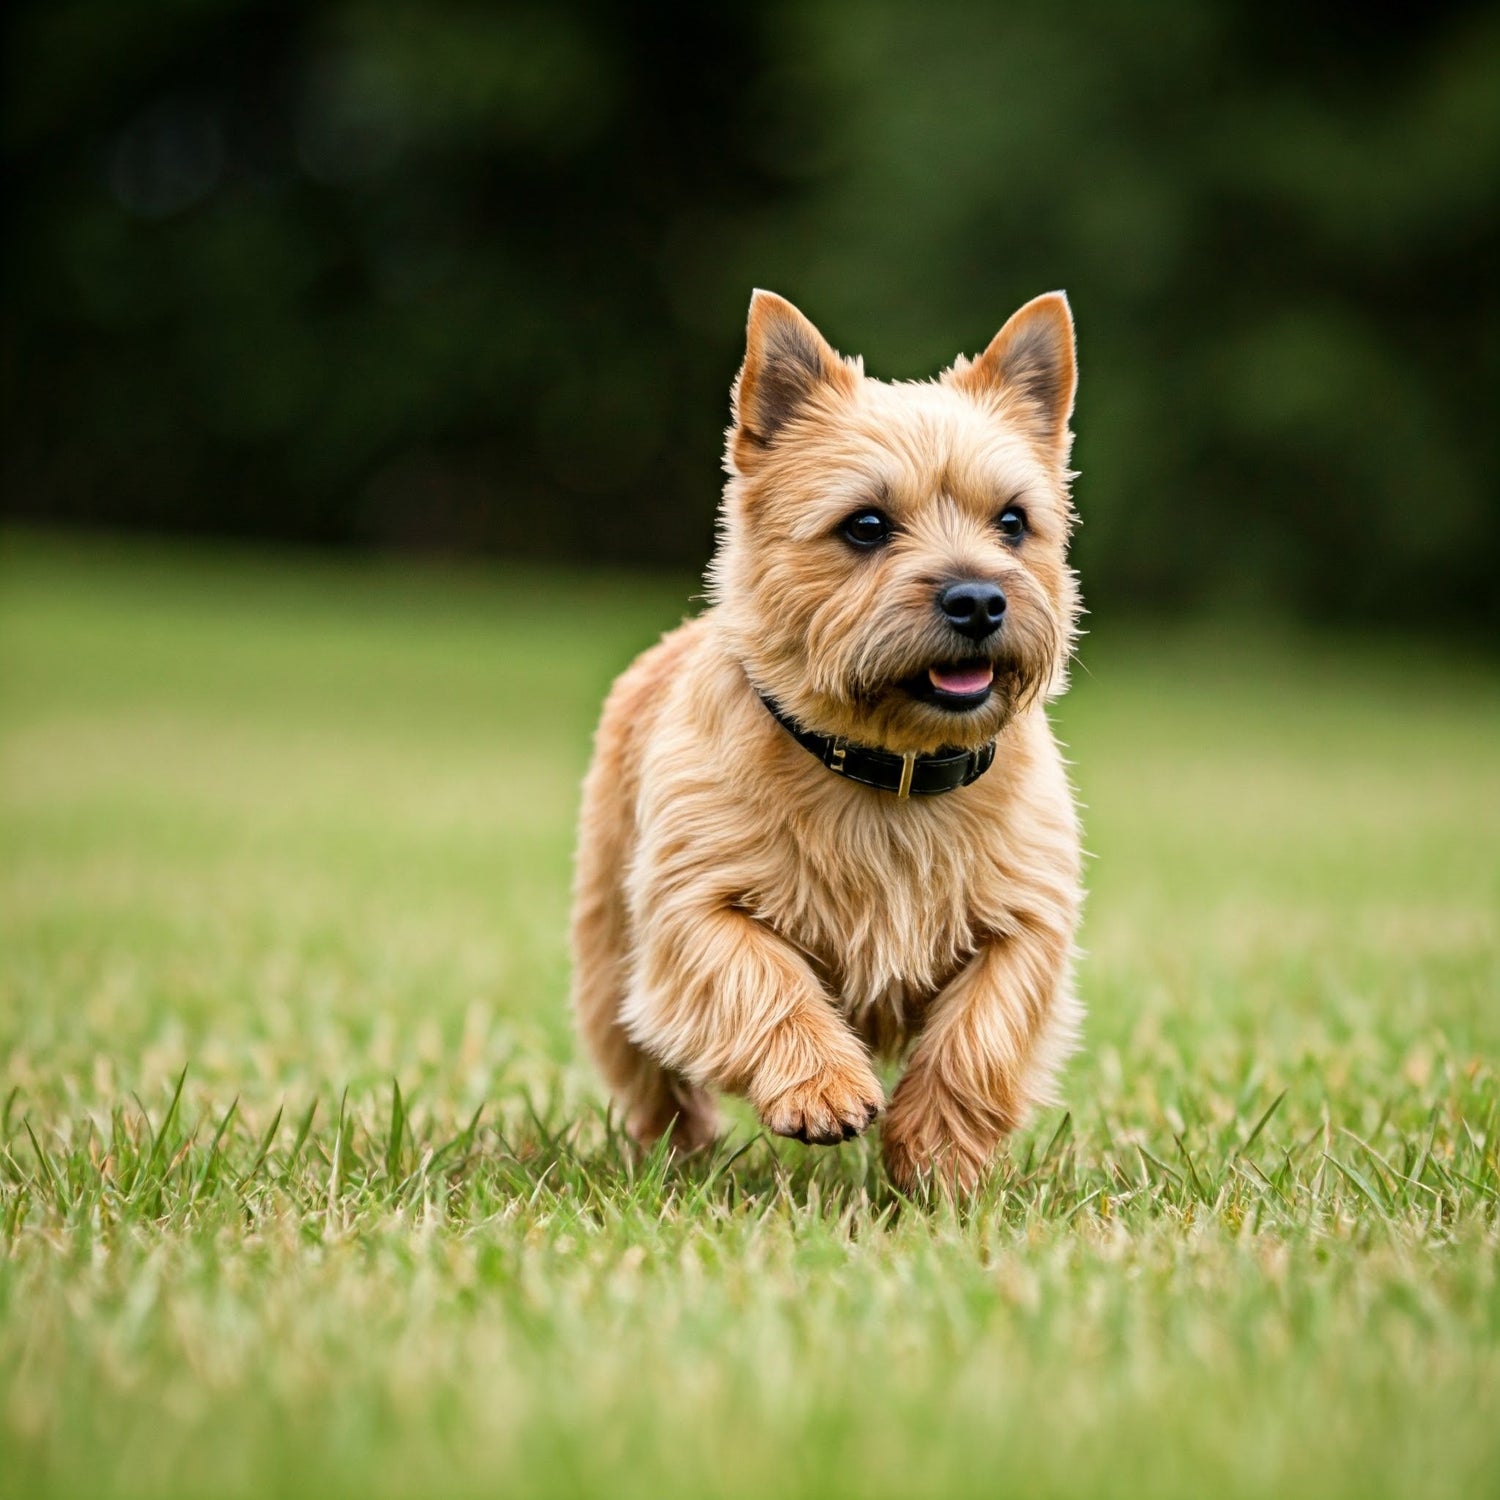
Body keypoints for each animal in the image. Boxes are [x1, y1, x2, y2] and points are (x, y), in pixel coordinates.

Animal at [570, 286, 1080, 1188]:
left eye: (1014, 522)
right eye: (866, 525)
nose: (979, 599)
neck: (892, 766)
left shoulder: (1027, 922)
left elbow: (979, 1033)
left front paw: (935, 1150)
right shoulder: (696, 906)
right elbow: (763, 978)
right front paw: (823, 1087)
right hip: (608, 957)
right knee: (652, 1076)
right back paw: (679, 1157)